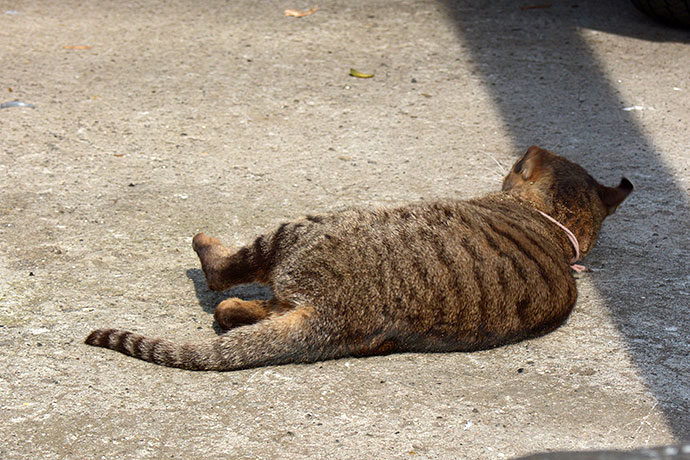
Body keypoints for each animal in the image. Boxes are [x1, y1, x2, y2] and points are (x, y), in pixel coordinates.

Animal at [84, 146, 628, 370]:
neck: (555, 228)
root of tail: (333, 315)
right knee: (235, 310)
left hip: (302, 229)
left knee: (222, 281)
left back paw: (205, 246)